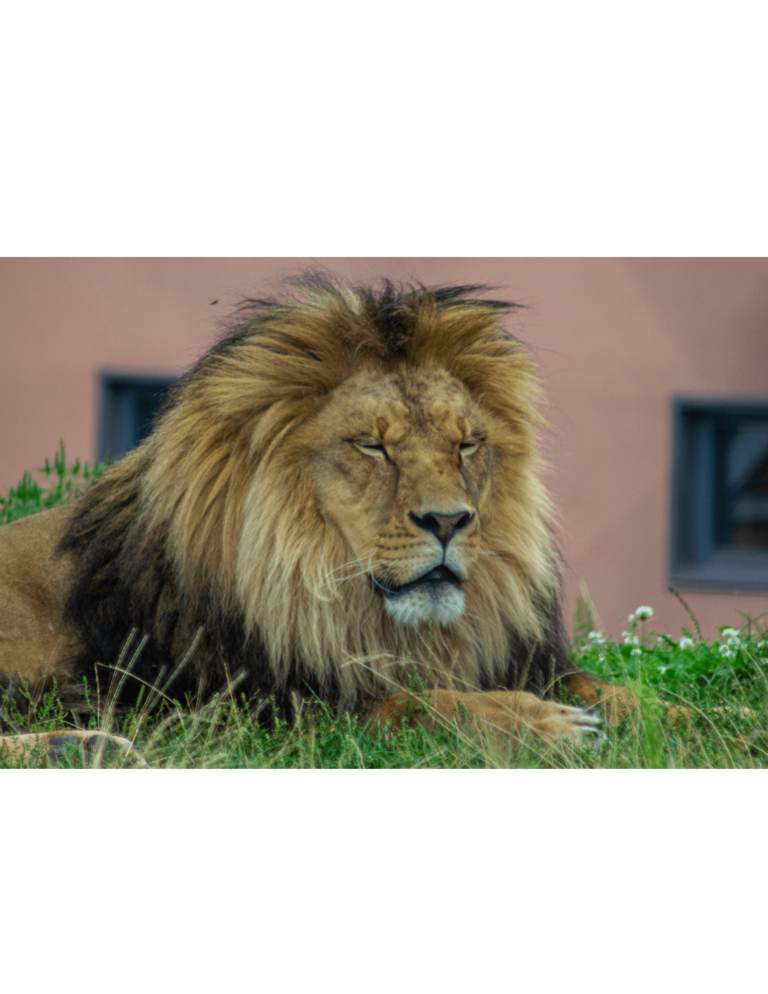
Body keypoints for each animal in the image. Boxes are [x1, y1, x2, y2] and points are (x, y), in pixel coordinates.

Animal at [0, 277, 633, 762]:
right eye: (373, 447)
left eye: (466, 446)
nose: (449, 521)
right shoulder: (264, 707)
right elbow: (421, 705)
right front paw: (551, 727)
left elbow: (617, 691)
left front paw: (650, 713)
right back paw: (88, 745)